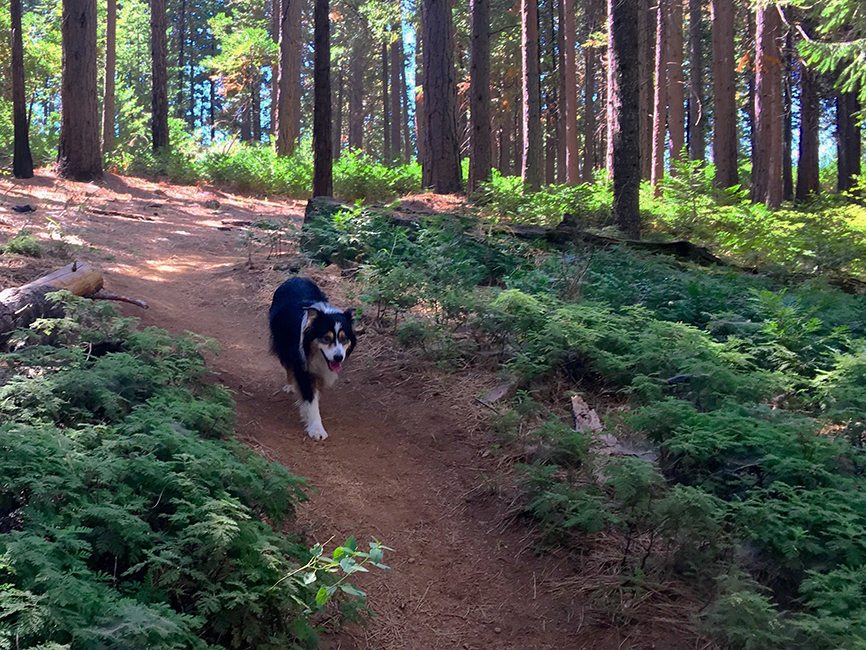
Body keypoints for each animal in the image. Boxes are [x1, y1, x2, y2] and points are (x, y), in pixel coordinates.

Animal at [266, 276, 354, 438]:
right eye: (326, 338)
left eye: (344, 339)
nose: (338, 357)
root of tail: (295, 277)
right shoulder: (302, 365)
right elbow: (310, 397)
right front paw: (316, 428)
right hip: (281, 342)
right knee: (287, 365)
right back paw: (290, 385)